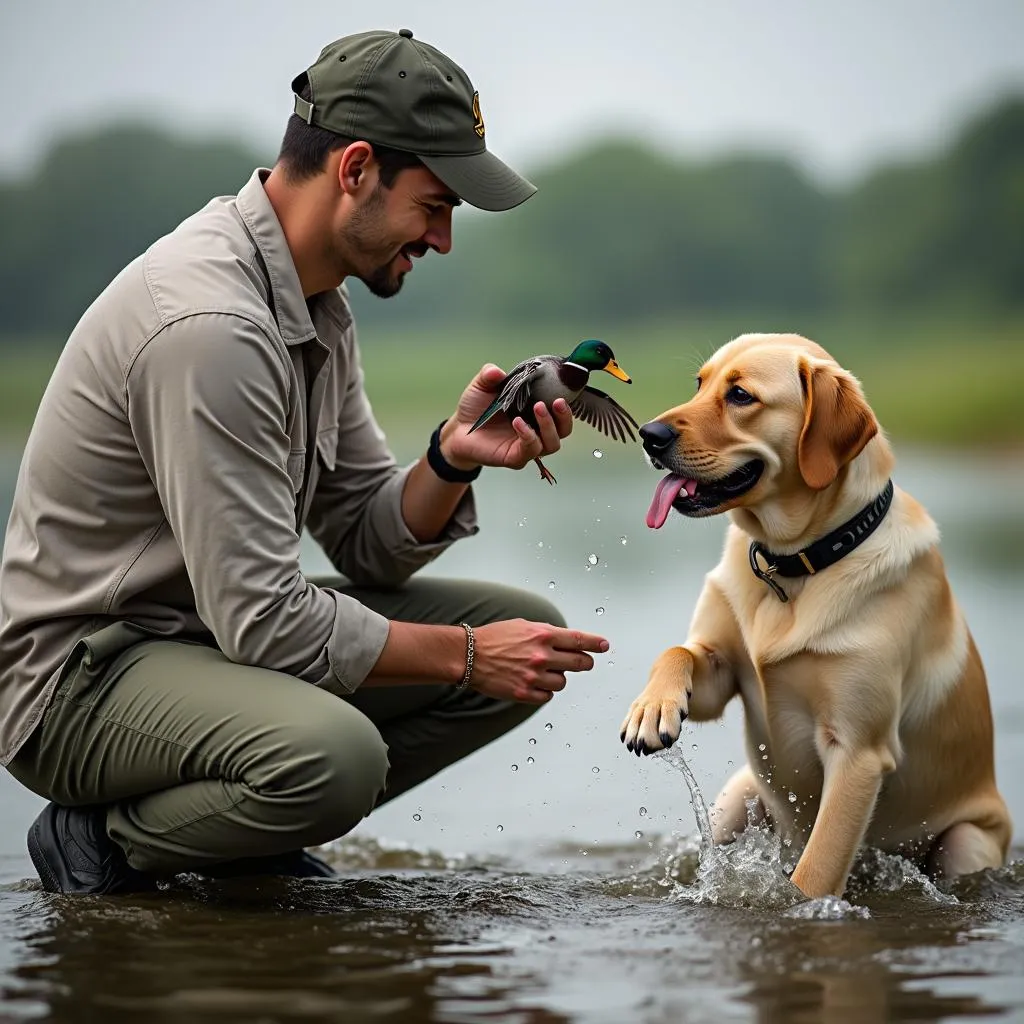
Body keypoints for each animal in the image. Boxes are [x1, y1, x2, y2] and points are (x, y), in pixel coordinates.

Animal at [618, 333, 1011, 897]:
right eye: (700, 384)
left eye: (740, 395)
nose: (648, 434)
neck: (793, 566)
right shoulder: (721, 670)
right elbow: (679, 651)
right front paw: (651, 710)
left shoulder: (857, 753)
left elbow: (816, 871)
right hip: (736, 798)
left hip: (967, 842)